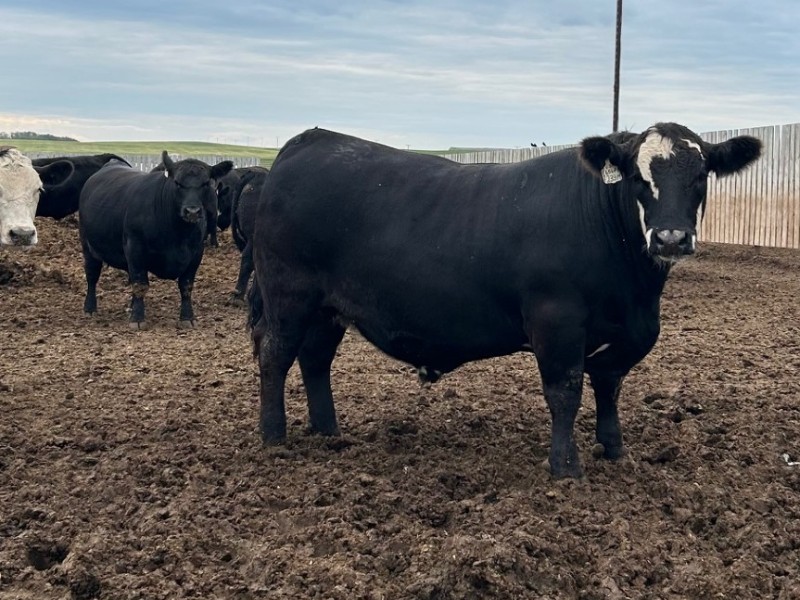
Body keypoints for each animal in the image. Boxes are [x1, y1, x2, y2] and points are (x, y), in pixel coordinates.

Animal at [80, 151, 233, 328]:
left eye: (206, 183)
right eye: (177, 183)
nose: (192, 211)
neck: (178, 235)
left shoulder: (196, 253)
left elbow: (186, 285)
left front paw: (187, 317)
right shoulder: (135, 248)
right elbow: (140, 284)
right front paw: (137, 318)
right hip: (88, 246)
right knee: (92, 275)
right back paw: (90, 308)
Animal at [248, 123, 762, 479]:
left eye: (701, 175)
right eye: (638, 176)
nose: (671, 237)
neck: (636, 294)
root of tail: (311, 140)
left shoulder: (625, 333)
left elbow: (609, 386)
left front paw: (615, 450)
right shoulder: (557, 322)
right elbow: (565, 392)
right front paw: (566, 467)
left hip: (327, 310)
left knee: (315, 360)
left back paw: (328, 431)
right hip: (288, 296)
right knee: (275, 355)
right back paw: (274, 436)